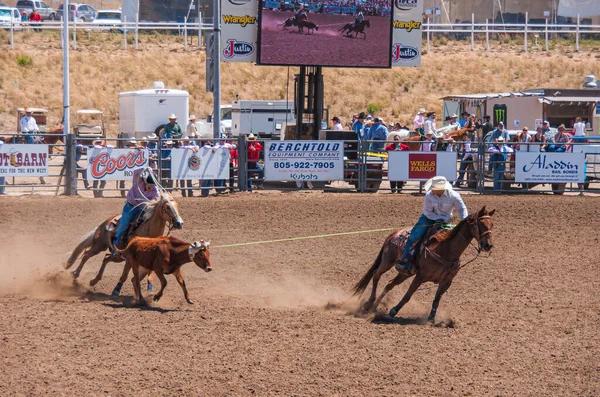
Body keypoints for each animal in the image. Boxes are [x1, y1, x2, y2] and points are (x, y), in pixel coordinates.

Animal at [350, 206, 494, 324]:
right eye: (481, 224)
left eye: (492, 225)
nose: (488, 245)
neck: (446, 250)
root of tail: (394, 233)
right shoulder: (420, 276)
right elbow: (408, 295)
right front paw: (393, 312)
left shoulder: (446, 281)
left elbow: (436, 299)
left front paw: (431, 318)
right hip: (387, 262)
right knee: (376, 275)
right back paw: (369, 303)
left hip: (405, 273)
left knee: (390, 284)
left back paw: (374, 306)